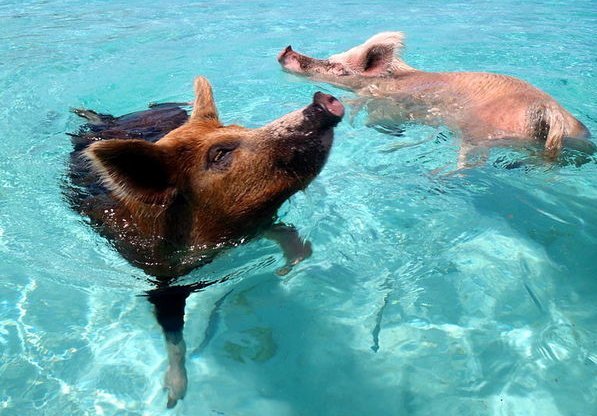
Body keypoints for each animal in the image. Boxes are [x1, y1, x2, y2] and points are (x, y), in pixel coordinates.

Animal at [66, 76, 342, 408]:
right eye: (220, 154)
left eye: (241, 128)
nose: (324, 101)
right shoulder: (161, 280)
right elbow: (174, 336)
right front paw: (174, 398)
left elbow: (287, 235)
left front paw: (287, 269)